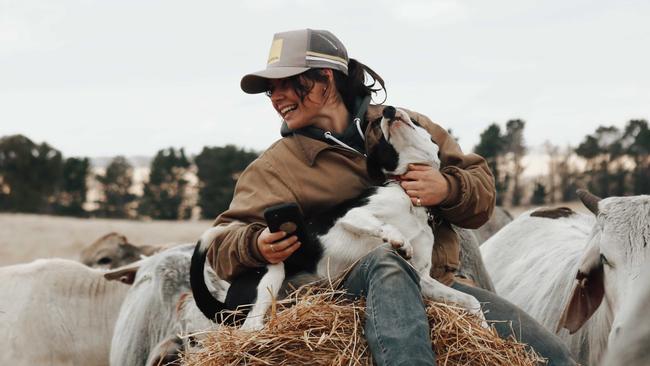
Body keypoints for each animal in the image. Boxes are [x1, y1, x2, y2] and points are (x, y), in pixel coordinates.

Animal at [190, 106, 484, 332]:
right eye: (381, 135)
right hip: (271, 272)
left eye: (417, 120)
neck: (408, 196)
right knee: (251, 328)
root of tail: (225, 305)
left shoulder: (422, 277)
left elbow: (471, 301)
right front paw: (399, 240)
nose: (388, 111)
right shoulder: (352, 214)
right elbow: (384, 226)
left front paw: (483, 325)